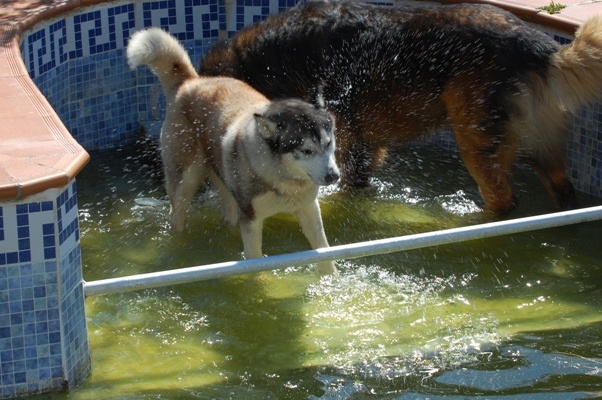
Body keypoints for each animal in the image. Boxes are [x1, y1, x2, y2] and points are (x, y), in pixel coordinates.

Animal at [126, 27, 338, 276]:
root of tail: (190, 81)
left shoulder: (309, 209)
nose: (334, 176)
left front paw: (331, 279)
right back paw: (180, 247)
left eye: (328, 144)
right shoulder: (251, 220)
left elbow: (325, 253)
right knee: (176, 216)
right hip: (185, 182)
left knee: (227, 213)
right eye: (306, 150)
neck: (281, 178)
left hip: (224, 183)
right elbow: (255, 260)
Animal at [199, 0, 600, 216]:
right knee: (562, 189)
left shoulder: (348, 142)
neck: (272, 61)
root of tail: (536, 45)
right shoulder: (363, 149)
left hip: (476, 140)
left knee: (504, 201)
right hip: (536, 145)